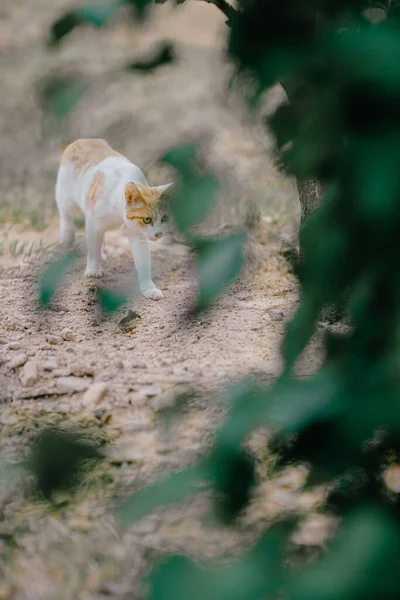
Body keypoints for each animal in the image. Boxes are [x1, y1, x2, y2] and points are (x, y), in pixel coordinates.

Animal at [56, 139, 173, 300]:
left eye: (164, 218)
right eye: (147, 219)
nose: (158, 234)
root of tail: (84, 139)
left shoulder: (137, 234)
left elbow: (143, 262)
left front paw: (149, 288)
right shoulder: (93, 222)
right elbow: (93, 249)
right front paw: (93, 270)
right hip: (66, 197)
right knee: (66, 214)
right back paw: (67, 235)